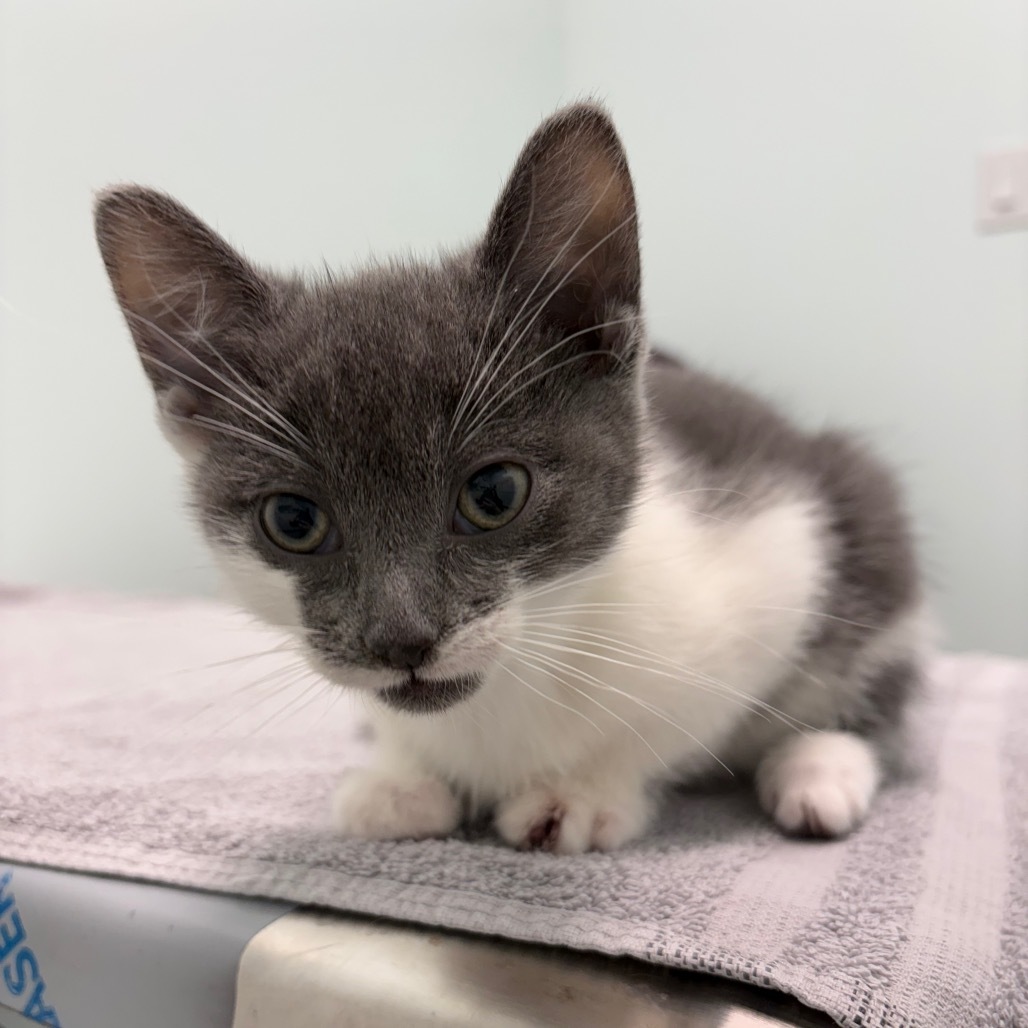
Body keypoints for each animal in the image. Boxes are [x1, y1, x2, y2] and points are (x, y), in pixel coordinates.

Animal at [94, 106, 925, 859]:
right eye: (293, 520)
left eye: (494, 494)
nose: (401, 639)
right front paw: (402, 778)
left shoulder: (776, 555)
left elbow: (679, 720)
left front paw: (580, 790)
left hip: (861, 502)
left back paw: (820, 770)